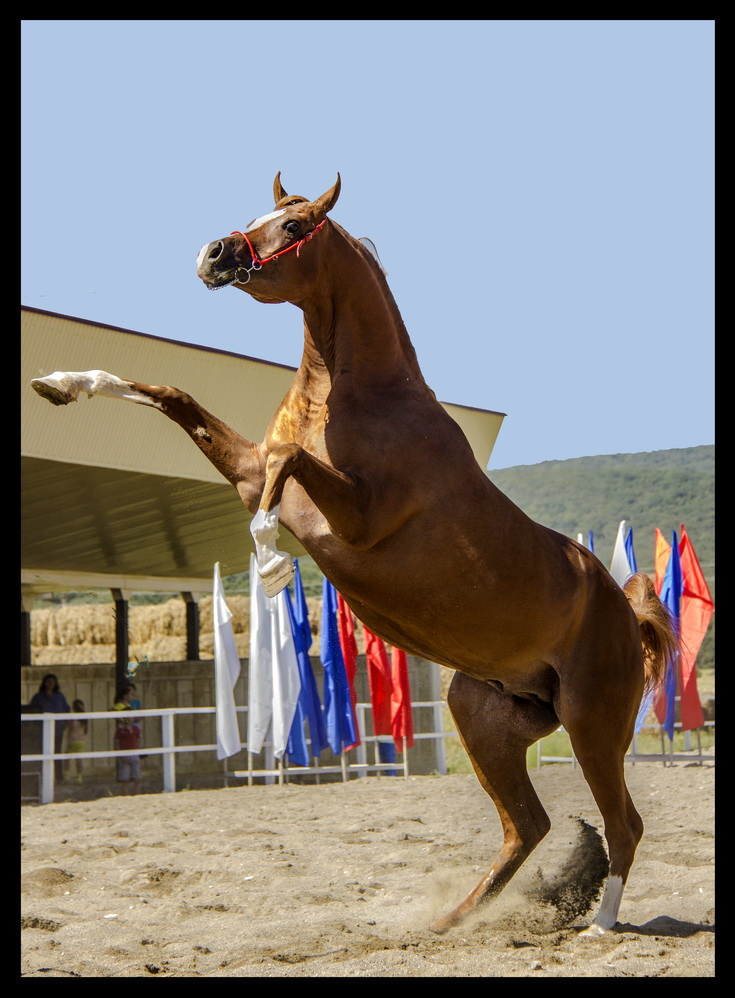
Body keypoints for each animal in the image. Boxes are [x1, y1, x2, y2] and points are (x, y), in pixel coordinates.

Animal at [33, 178, 680, 936]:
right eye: (258, 214)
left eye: (294, 225)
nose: (214, 252)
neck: (359, 398)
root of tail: (626, 613)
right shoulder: (249, 472)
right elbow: (175, 396)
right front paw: (60, 382)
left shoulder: (352, 517)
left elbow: (285, 464)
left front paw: (271, 565)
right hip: (483, 714)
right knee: (527, 825)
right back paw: (449, 922)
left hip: (592, 725)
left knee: (623, 823)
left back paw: (599, 923)